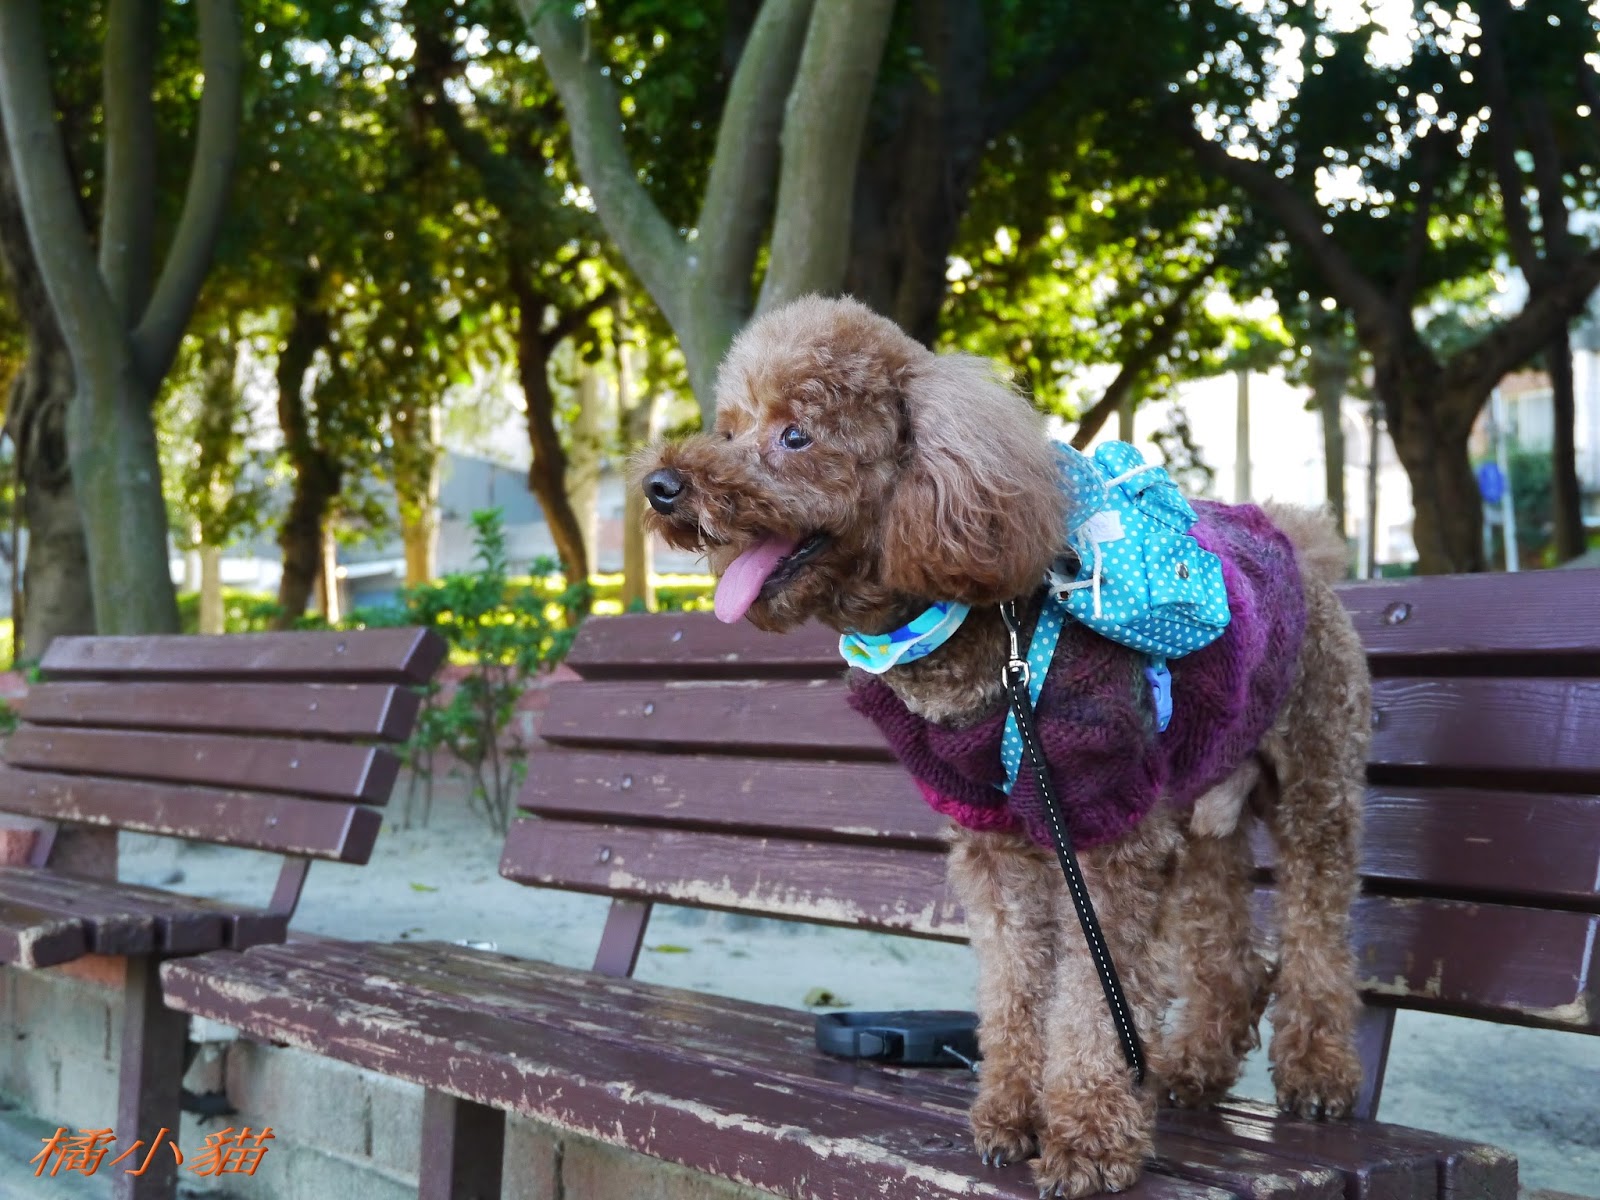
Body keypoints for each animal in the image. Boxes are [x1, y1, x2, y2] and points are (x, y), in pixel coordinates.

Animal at [638, 295, 1368, 1198]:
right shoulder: (996, 843)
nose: (661, 486)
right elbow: (1016, 984)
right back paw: (1189, 1067)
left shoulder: (1108, 828)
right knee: (1225, 953)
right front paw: (1012, 1117)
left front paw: (1089, 1138)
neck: (972, 632)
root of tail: (1301, 540)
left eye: (796, 436)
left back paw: (1318, 1074)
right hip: (1203, 800)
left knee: (1316, 929)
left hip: (1317, 780)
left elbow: (1095, 998)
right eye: (731, 426)